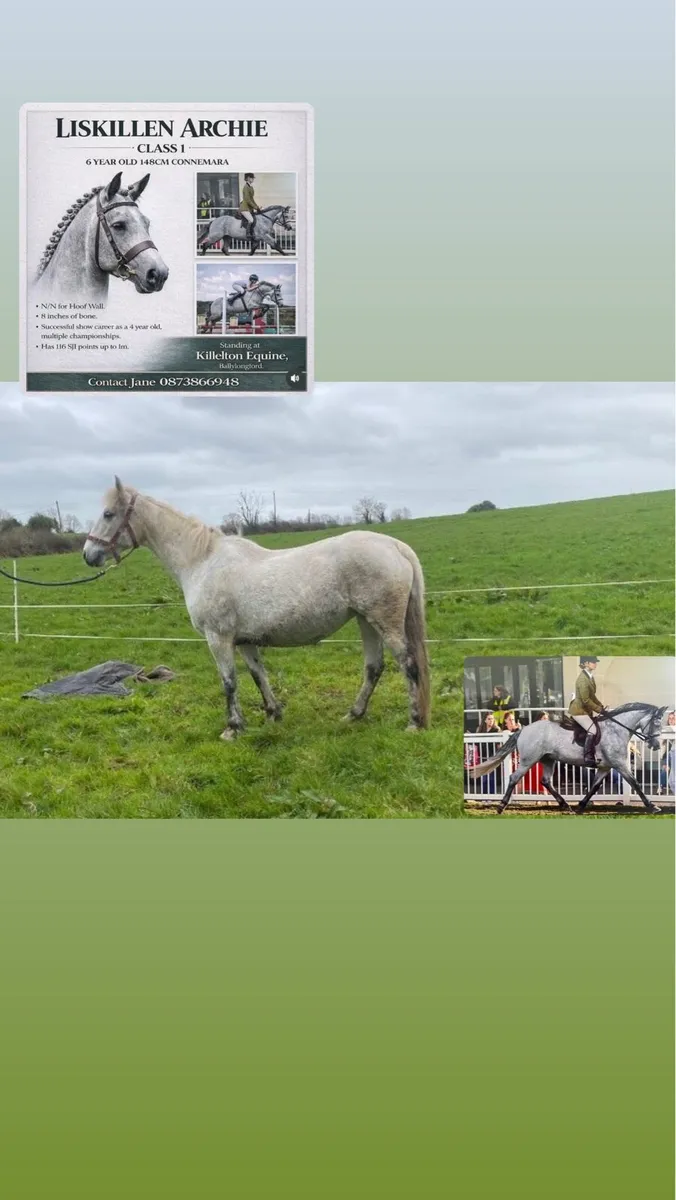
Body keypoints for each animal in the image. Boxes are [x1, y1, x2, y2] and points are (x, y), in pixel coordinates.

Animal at [83, 479, 431, 739]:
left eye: (109, 513)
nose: (88, 555)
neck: (202, 561)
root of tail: (395, 546)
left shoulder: (218, 639)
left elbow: (229, 681)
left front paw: (233, 728)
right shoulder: (245, 641)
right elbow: (257, 675)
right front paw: (273, 714)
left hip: (384, 621)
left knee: (408, 663)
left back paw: (414, 722)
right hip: (365, 620)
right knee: (374, 667)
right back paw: (353, 715)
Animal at [468, 703, 670, 814]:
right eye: (656, 723)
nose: (656, 746)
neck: (616, 729)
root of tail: (524, 729)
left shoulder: (605, 767)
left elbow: (594, 786)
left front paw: (581, 805)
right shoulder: (620, 764)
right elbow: (635, 783)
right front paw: (653, 806)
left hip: (548, 759)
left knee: (546, 781)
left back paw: (566, 805)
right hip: (528, 760)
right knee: (514, 778)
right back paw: (501, 806)